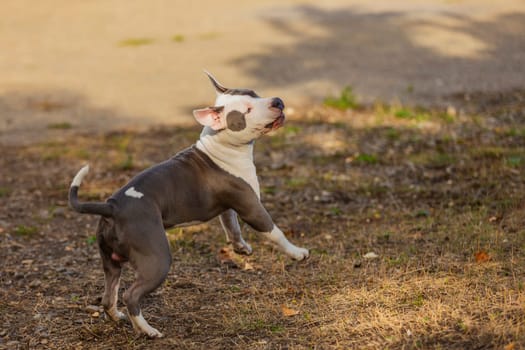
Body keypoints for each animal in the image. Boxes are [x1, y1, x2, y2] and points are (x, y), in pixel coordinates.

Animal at [68, 72, 310, 338]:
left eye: (255, 93)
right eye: (247, 110)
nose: (277, 101)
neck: (220, 144)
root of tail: (112, 207)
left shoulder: (230, 206)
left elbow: (231, 226)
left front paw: (241, 248)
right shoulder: (252, 207)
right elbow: (275, 232)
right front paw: (297, 252)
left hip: (111, 262)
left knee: (108, 295)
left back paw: (118, 317)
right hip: (157, 259)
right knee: (131, 294)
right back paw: (148, 330)